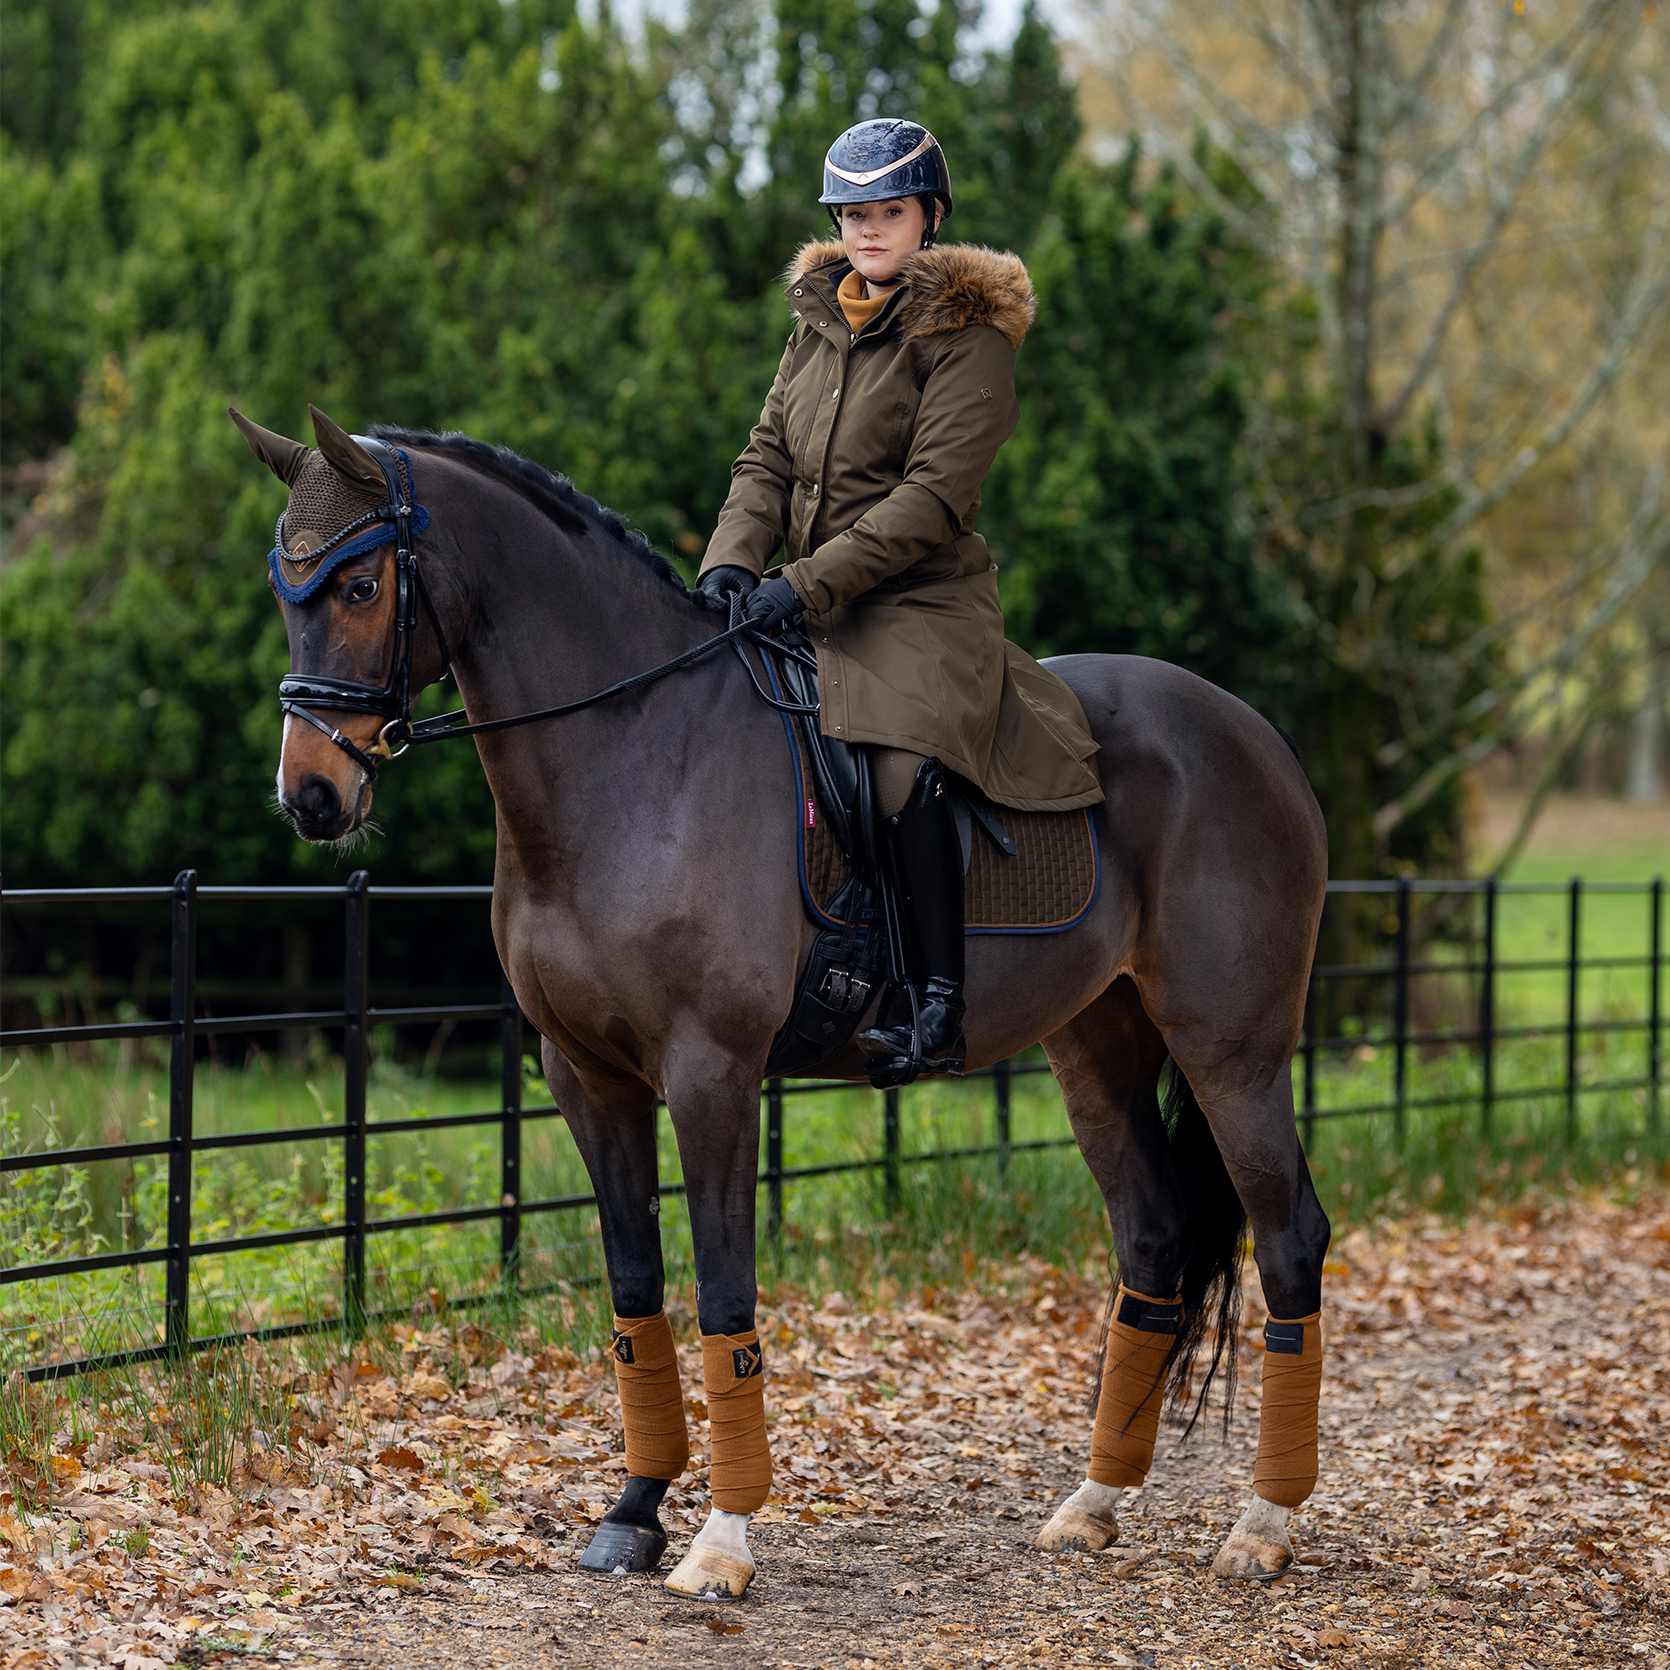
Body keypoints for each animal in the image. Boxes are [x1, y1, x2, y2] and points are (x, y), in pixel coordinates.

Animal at [242, 407, 1329, 1603]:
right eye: (285, 590)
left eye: (357, 588)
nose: (311, 796)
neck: (634, 754)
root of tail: (1253, 732)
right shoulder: (587, 1077)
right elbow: (634, 1289)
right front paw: (633, 1513)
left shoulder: (710, 1072)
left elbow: (724, 1293)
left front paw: (721, 1539)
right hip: (1096, 1045)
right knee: (1151, 1238)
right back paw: (1092, 1505)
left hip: (1231, 1049)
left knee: (1289, 1237)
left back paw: (1265, 1525)